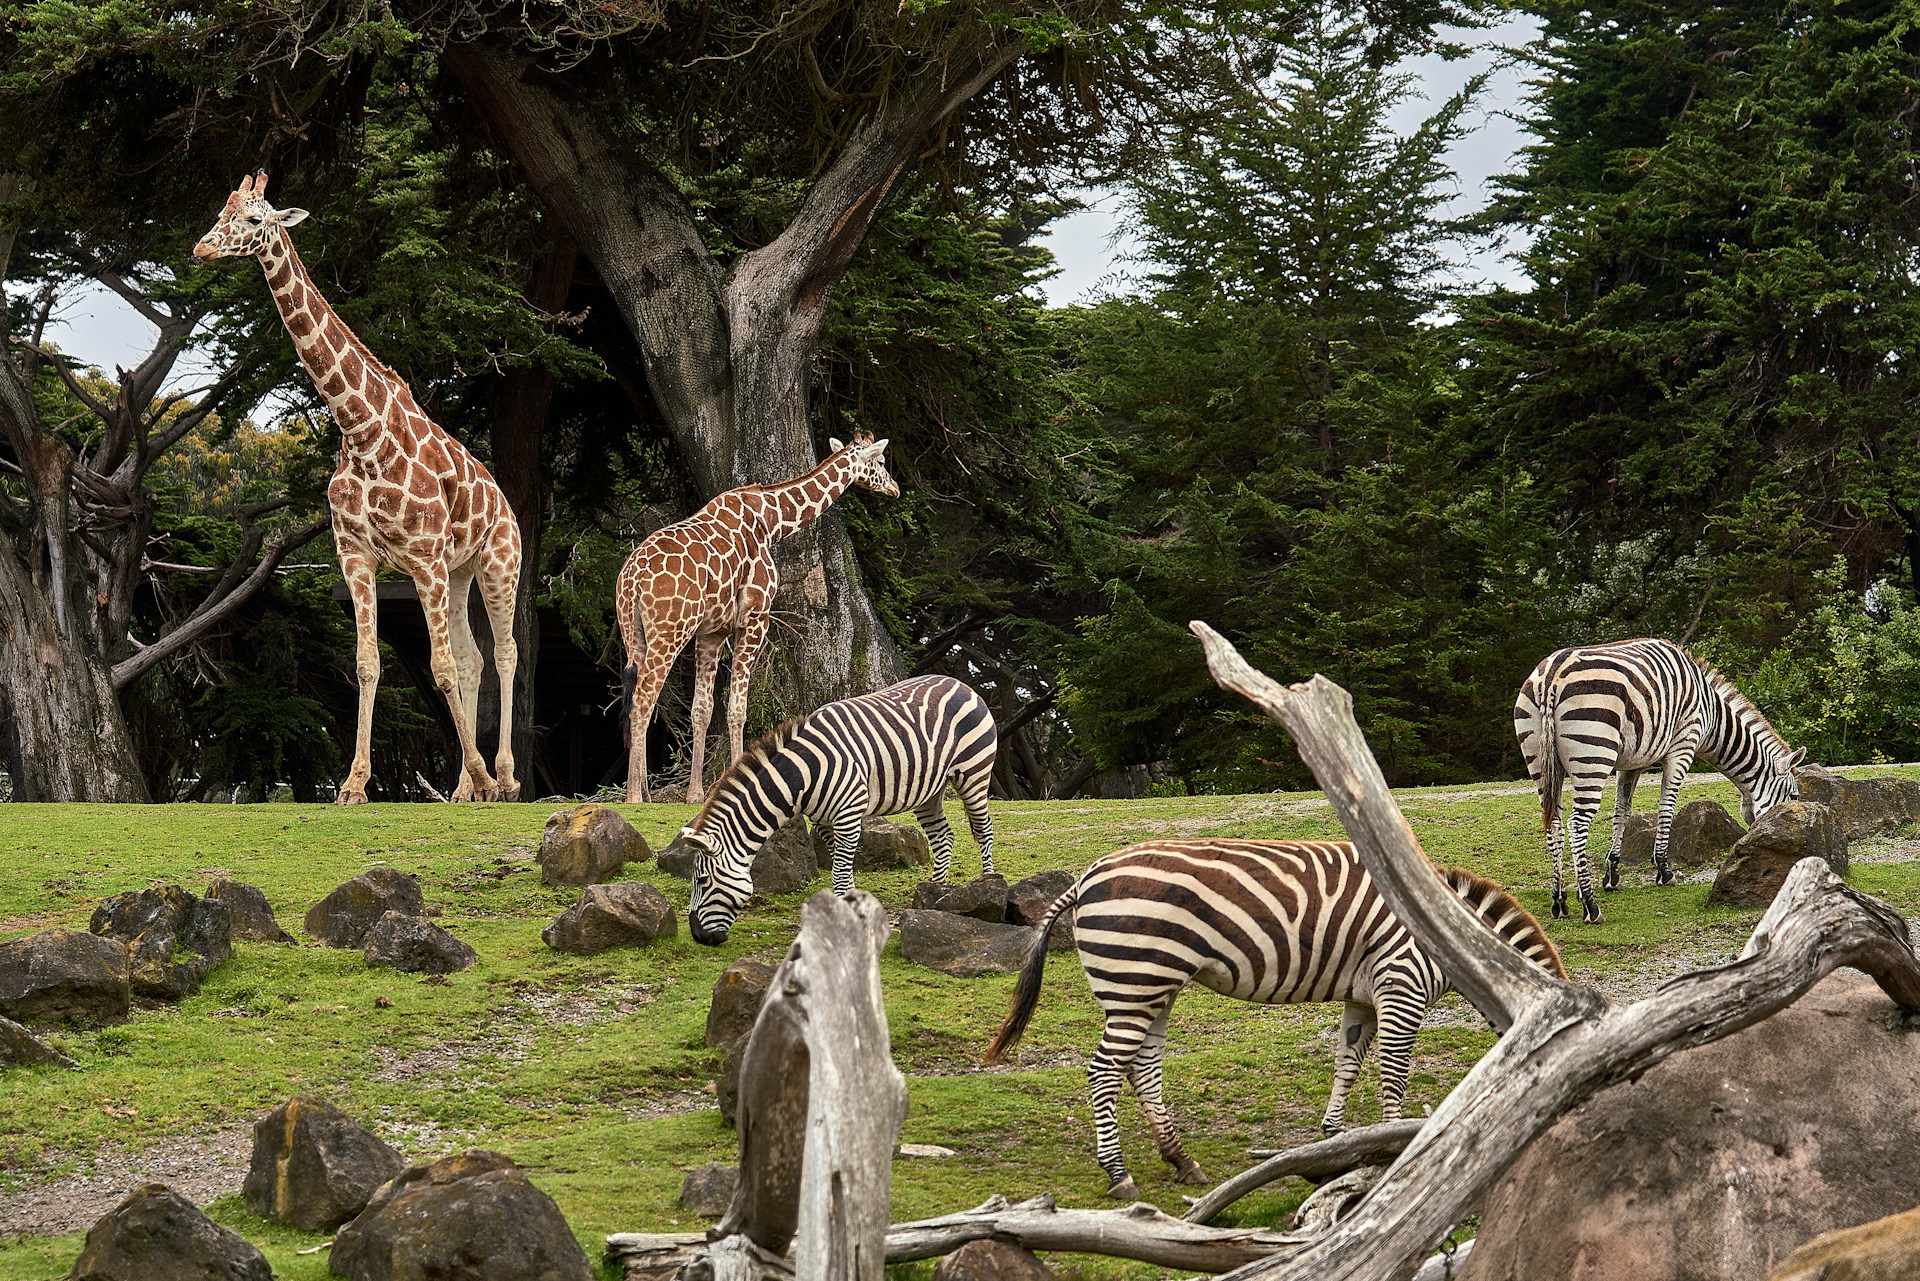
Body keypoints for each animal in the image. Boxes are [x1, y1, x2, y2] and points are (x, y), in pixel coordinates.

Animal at [193, 172, 522, 805]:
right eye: (221, 209)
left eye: (254, 219)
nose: (201, 248)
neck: (361, 429)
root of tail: (504, 503)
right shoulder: (357, 555)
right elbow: (370, 663)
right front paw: (353, 784)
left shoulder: (422, 558)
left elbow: (440, 667)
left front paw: (478, 774)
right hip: (461, 570)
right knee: (474, 659)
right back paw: (468, 788)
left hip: (498, 562)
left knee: (504, 652)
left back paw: (505, 777)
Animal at [617, 434, 899, 804]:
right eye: (880, 461)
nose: (895, 488)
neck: (772, 521)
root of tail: (632, 578)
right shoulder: (754, 618)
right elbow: (738, 707)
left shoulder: (713, 631)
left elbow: (702, 709)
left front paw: (695, 793)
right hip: (670, 632)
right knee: (643, 699)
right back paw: (633, 797)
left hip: (633, 633)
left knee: (637, 698)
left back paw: (644, 792)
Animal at [659, 674, 997, 945]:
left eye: (702, 881)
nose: (698, 937)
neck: (802, 776)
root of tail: (960, 683)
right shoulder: (823, 821)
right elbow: (840, 866)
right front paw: (850, 906)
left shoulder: (848, 814)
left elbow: (840, 871)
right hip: (930, 790)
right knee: (943, 837)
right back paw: (934, 891)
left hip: (974, 772)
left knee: (983, 830)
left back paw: (987, 886)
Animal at [984, 838, 1563, 1199]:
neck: (1452, 938)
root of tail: (1086, 876)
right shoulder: (1401, 985)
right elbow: (1393, 1074)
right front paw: (1397, 1146)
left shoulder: (1363, 995)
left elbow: (1348, 1061)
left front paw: (1334, 1139)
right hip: (1136, 978)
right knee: (1104, 1071)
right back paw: (1119, 1173)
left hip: (1149, 987)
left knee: (1142, 1068)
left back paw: (1181, 1161)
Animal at [1513, 637, 1804, 924]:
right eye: (1794, 798)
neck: (1711, 713)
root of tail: (1551, 675)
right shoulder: (1683, 747)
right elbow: (1667, 808)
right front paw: (1664, 871)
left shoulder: (1631, 763)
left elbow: (1622, 812)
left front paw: (1612, 874)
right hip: (1593, 755)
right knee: (1576, 825)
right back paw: (1590, 904)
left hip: (1540, 762)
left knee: (1554, 824)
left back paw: (1559, 901)